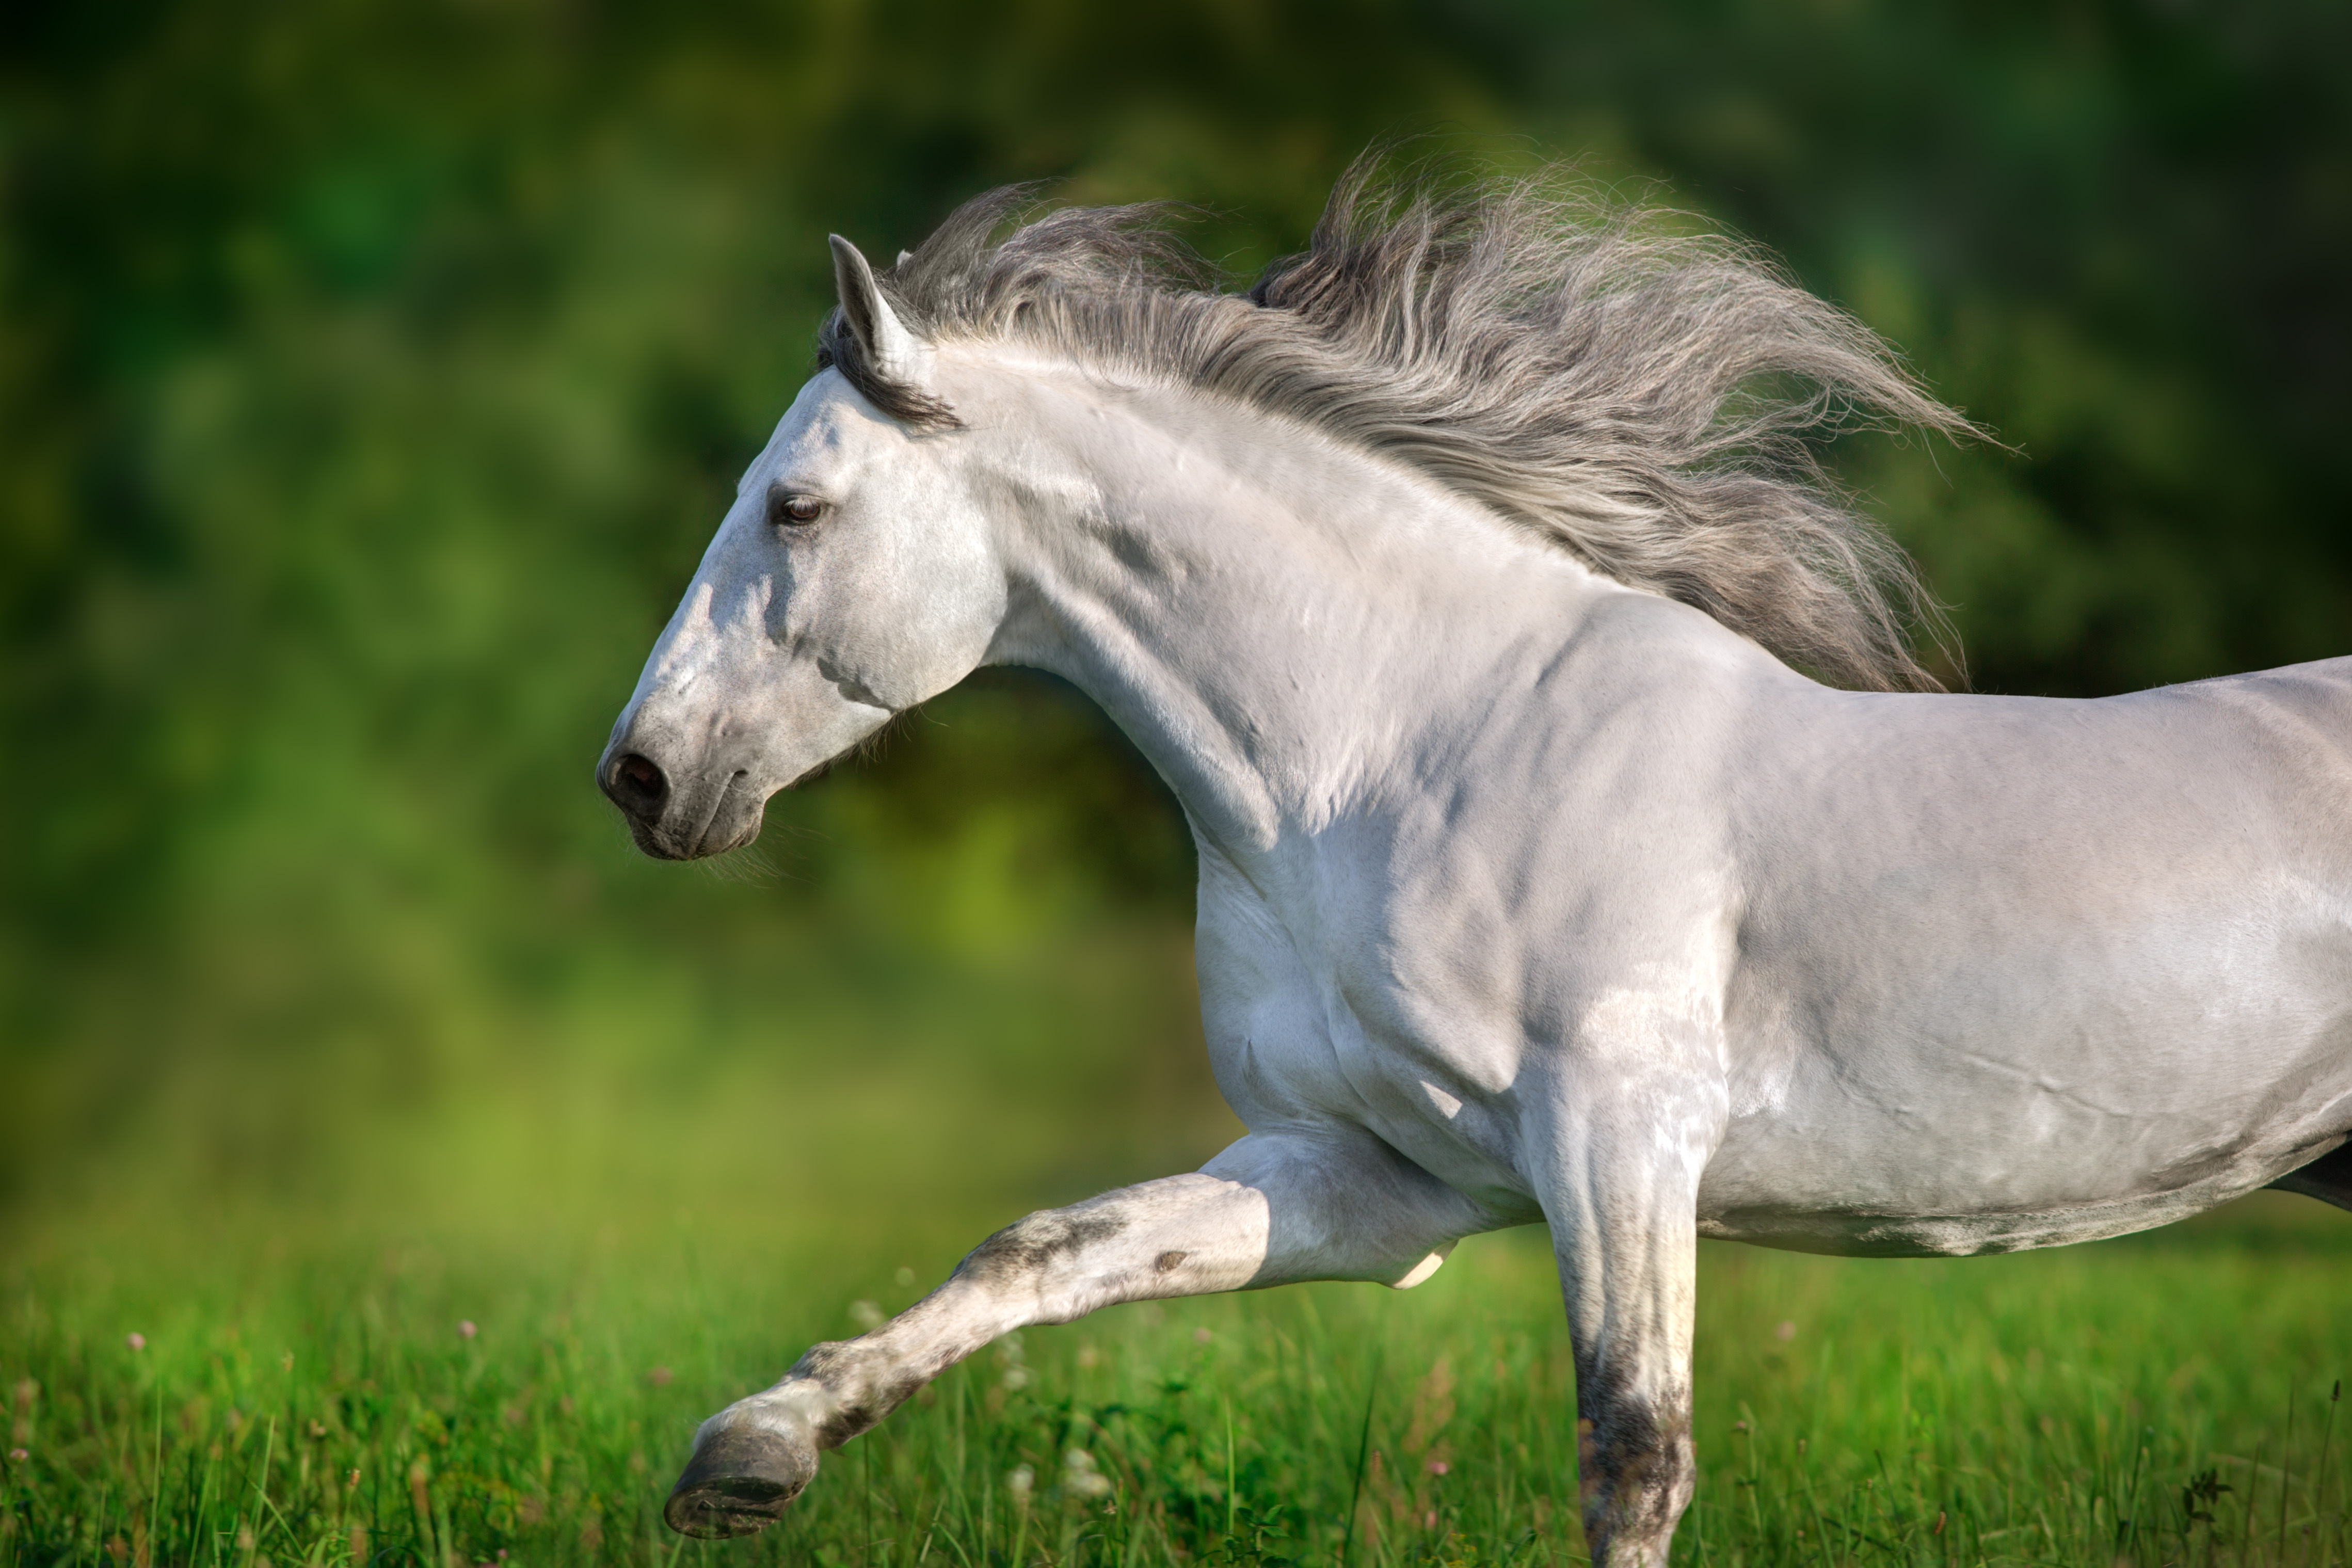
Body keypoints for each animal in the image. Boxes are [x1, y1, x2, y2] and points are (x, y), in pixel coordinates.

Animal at [596, 162, 2352, 1567]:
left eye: (796, 505)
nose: (642, 776)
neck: (1414, 748)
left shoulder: (1617, 1137)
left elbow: (1631, 1450)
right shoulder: (1377, 1175)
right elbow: (1049, 1246)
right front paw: (746, 1457)